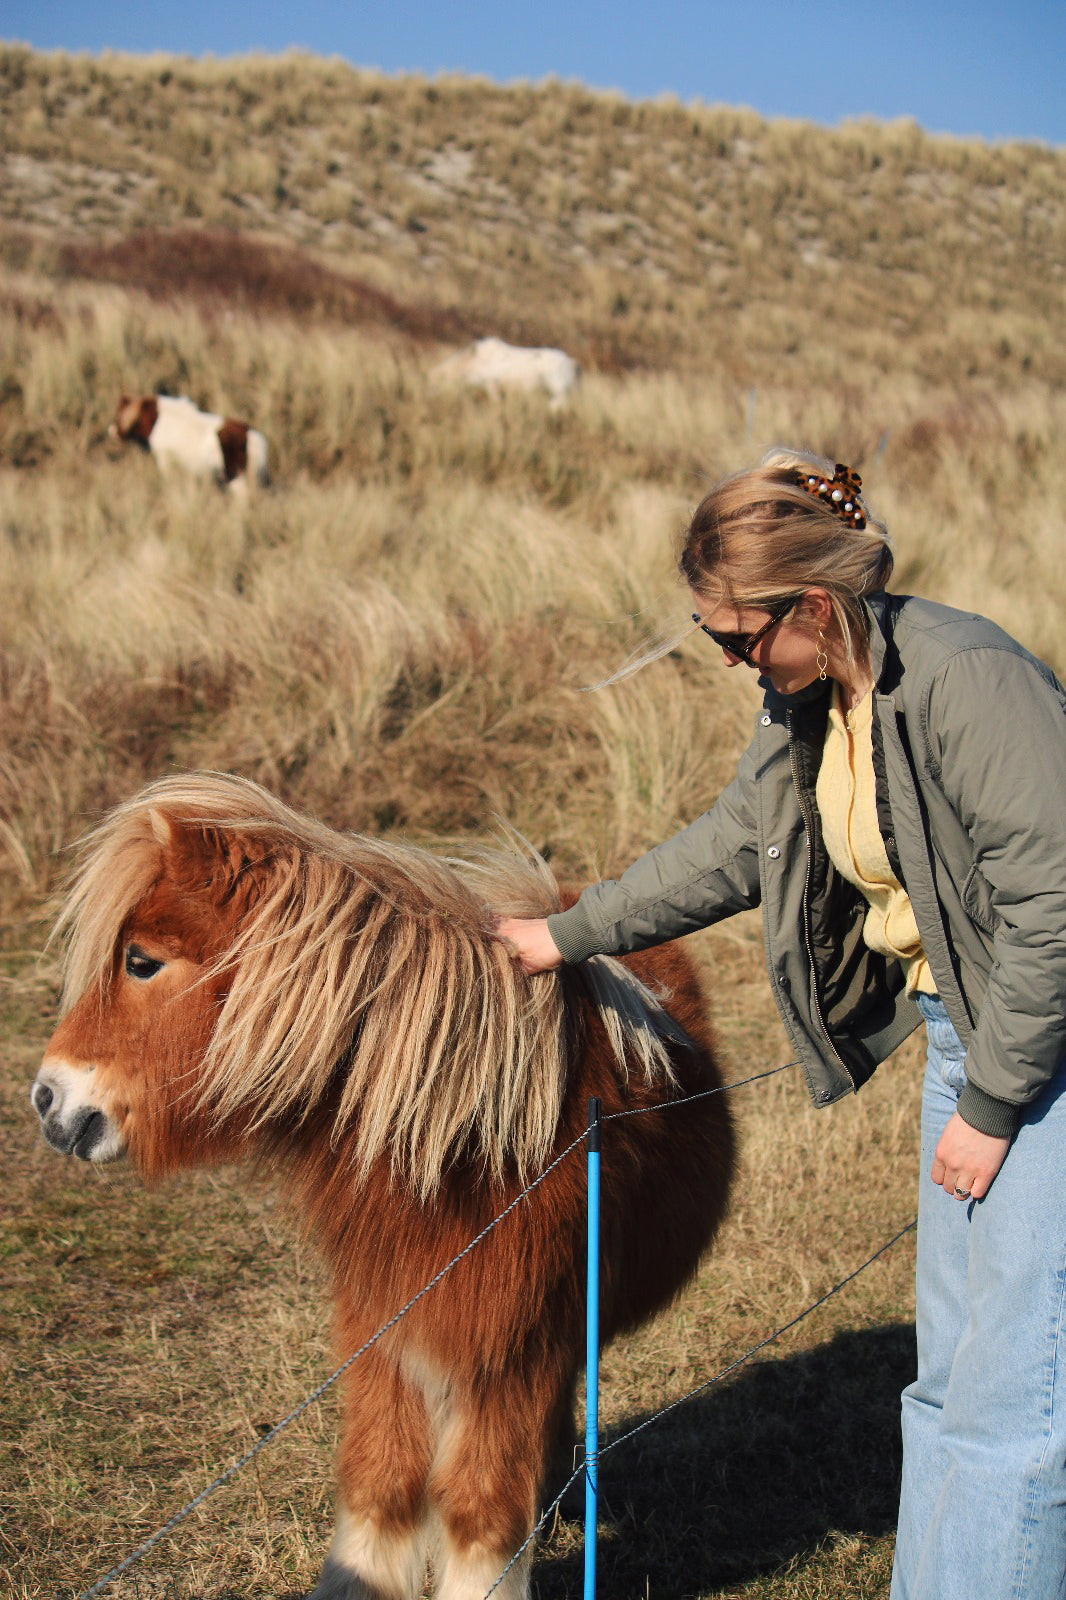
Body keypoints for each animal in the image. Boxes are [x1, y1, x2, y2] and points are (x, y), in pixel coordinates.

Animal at [31, 774, 729, 1600]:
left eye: (140, 962)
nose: (47, 1100)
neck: (464, 1144)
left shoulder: (509, 1354)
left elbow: (480, 1510)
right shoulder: (384, 1334)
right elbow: (382, 1483)